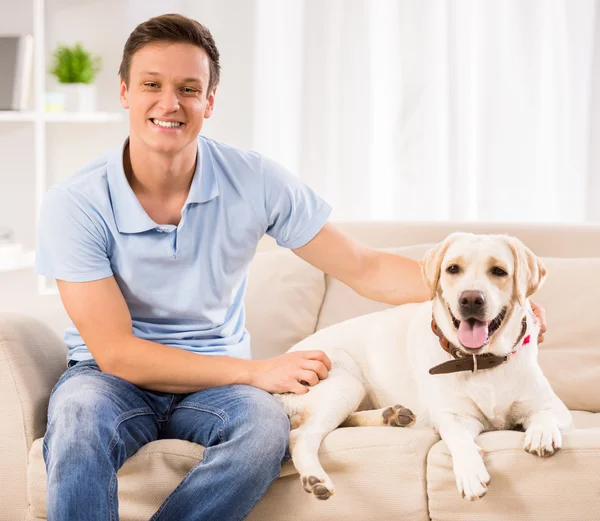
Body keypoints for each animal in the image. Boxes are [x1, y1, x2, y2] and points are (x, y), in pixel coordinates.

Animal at [276, 233, 572, 500]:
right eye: (453, 269)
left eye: (499, 271)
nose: (470, 299)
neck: (481, 360)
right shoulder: (455, 416)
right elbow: (458, 438)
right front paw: (470, 471)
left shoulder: (556, 408)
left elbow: (544, 414)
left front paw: (542, 433)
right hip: (346, 381)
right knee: (299, 436)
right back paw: (316, 478)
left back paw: (392, 416)